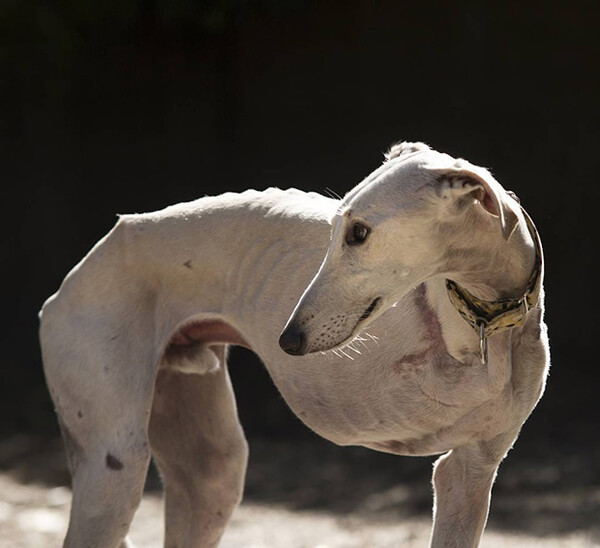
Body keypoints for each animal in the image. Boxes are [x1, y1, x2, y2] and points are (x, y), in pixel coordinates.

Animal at [39, 142, 548, 548]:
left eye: (359, 233)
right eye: (335, 229)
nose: (288, 340)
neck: (485, 317)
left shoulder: (470, 469)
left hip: (209, 469)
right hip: (113, 467)